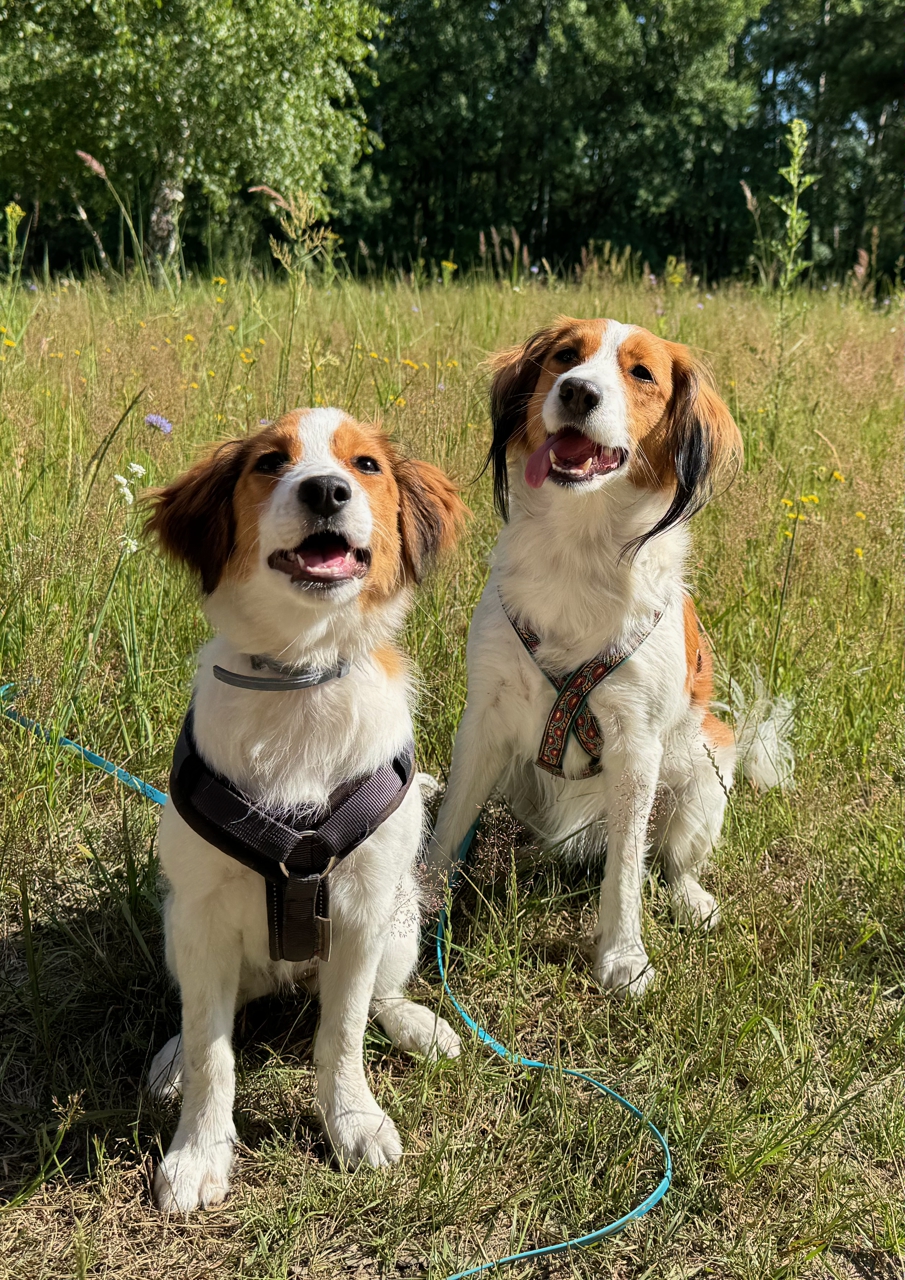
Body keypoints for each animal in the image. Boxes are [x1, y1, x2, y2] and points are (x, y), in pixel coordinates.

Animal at [143, 407, 468, 1208]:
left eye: (366, 465)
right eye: (269, 462)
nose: (326, 490)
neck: (299, 678)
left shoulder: (359, 910)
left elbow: (342, 1034)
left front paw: (352, 1122)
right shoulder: (200, 912)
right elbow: (213, 1052)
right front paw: (198, 1152)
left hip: (398, 921)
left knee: (379, 996)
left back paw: (417, 1025)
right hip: (178, 928)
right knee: (212, 1011)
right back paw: (169, 1062)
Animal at [432, 314, 793, 993]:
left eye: (642, 373)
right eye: (565, 357)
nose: (577, 391)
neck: (579, 548)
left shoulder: (635, 742)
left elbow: (626, 869)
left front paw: (623, 958)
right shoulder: (484, 719)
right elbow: (447, 831)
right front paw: (410, 913)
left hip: (706, 768)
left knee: (670, 860)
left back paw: (692, 899)